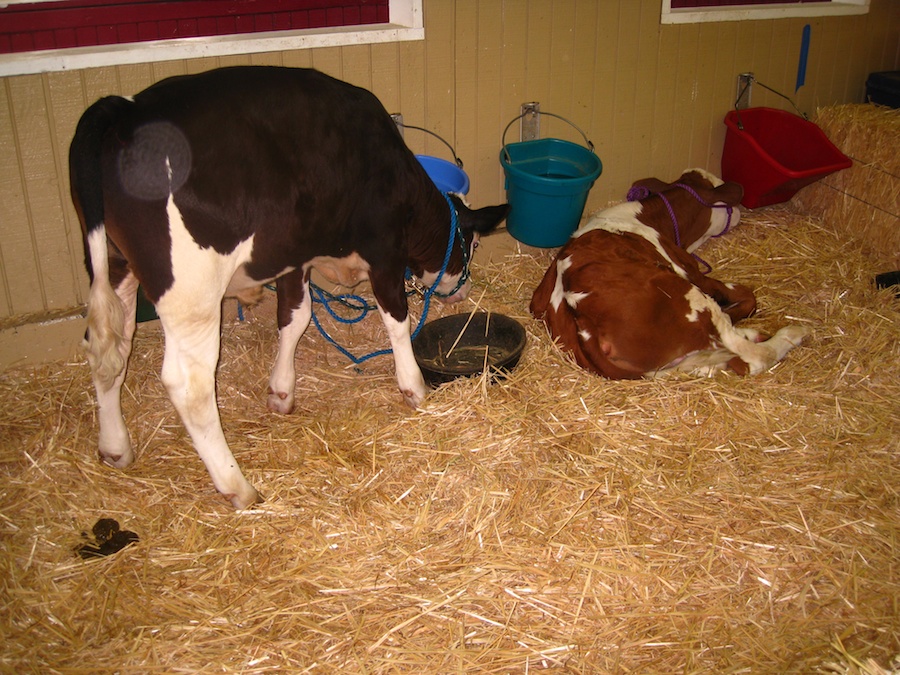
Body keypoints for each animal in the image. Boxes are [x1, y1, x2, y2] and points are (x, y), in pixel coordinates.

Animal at [67, 67, 510, 508]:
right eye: (473, 245)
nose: (464, 290)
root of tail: (122, 108)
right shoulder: (383, 250)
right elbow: (396, 320)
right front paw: (414, 388)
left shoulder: (294, 255)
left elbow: (295, 317)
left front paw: (281, 391)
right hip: (192, 292)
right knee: (189, 385)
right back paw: (237, 486)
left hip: (114, 264)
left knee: (108, 349)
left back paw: (115, 448)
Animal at [532, 169, 812, 380]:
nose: (740, 212)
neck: (650, 217)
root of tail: (580, 316)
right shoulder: (693, 272)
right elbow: (748, 297)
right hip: (691, 297)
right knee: (750, 358)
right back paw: (793, 333)